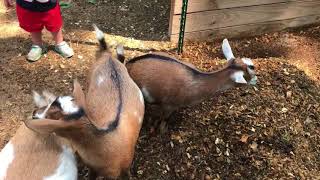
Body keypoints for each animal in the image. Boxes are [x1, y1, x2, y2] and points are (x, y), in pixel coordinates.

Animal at [123, 38, 258, 133]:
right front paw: (162, 130)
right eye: (249, 71)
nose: (256, 80)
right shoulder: (169, 105)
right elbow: (164, 119)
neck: (198, 80)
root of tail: (128, 65)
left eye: (250, 64)